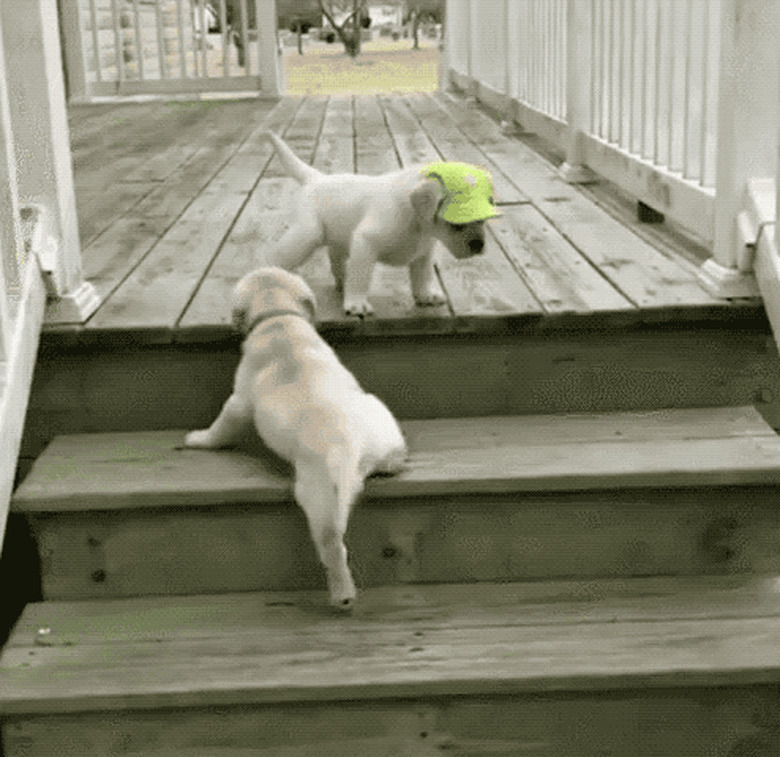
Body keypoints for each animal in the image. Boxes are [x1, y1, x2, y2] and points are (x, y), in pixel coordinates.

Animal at [185, 266, 406, 608]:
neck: (278, 316)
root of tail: (350, 445)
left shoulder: (238, 402)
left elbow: (221, 427)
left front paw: (199, 439)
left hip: (319, 495)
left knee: (333, 545)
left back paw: (342, 593)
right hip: (376, 414)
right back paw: (394, 460)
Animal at [262, 131, 500, 314]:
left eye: (483, 221)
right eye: (456, 225)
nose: (478, 245)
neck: (416, 220)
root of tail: (316, 178)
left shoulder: (424, 254)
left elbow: (422, 276)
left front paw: (425, 295)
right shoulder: (365, 242)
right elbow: (361, 277)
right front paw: (357, 303)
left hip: (337, 238)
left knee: (336, 260)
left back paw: (342, 281)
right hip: (307, 235)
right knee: (278, 258)